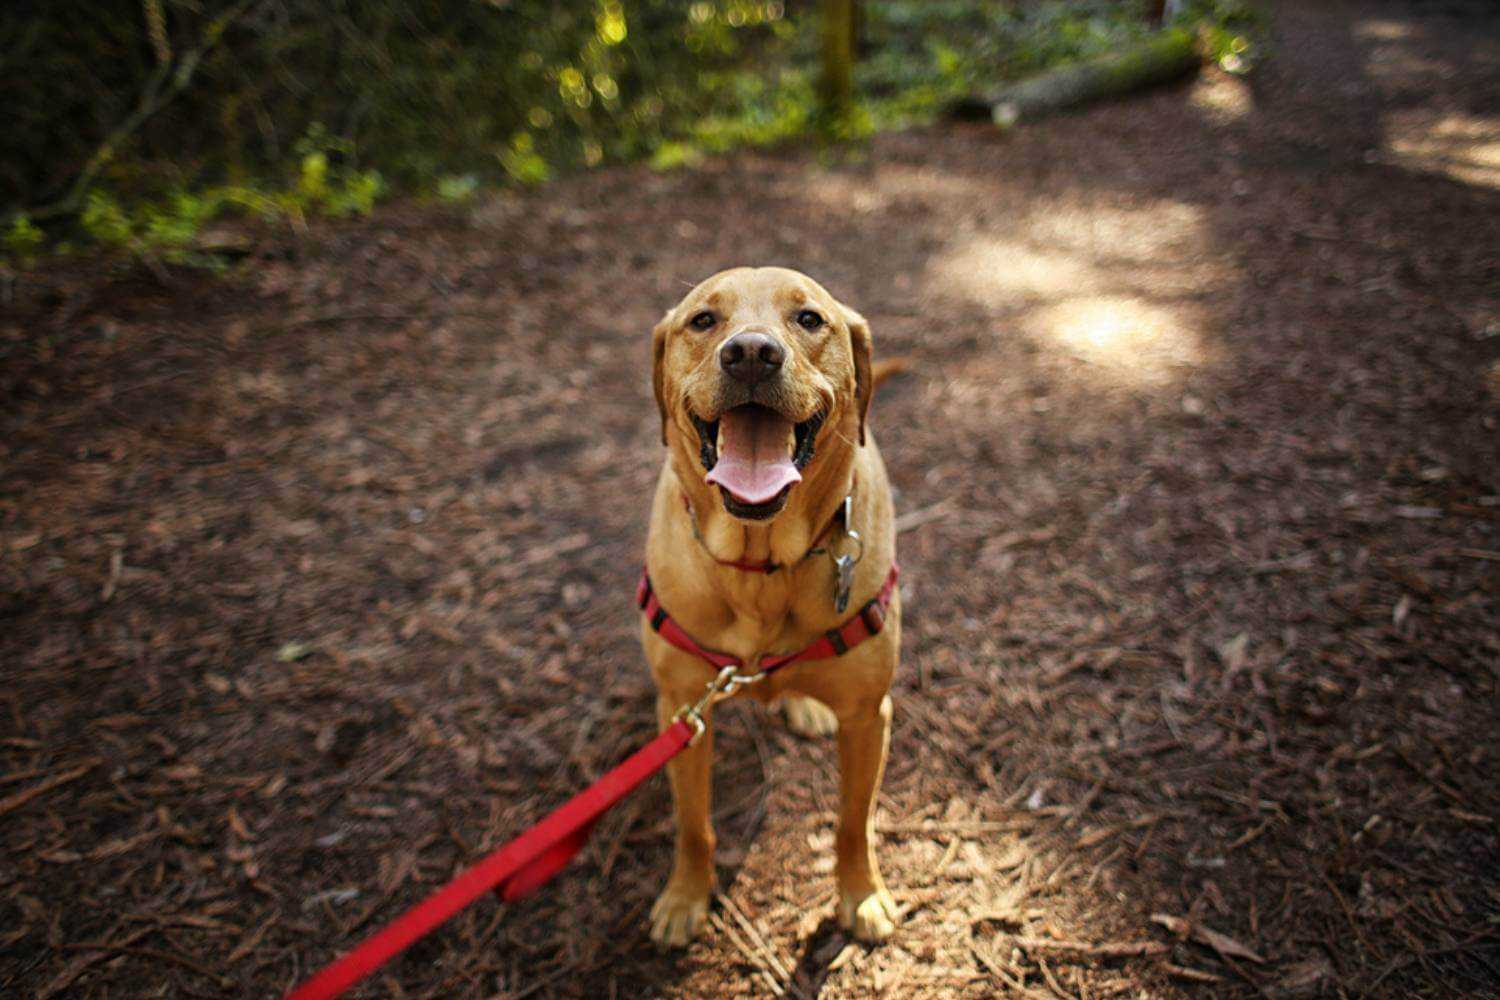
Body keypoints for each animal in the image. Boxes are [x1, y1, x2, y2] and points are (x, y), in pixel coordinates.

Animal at [636, 263, 894, 947]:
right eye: (703, 320)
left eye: (809, 319)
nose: (751, 353)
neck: (762, 565)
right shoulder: (681, 714)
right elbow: (693, 825)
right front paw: (685, 897)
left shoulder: (870, 716)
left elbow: (853, 821)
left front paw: (862, 896)